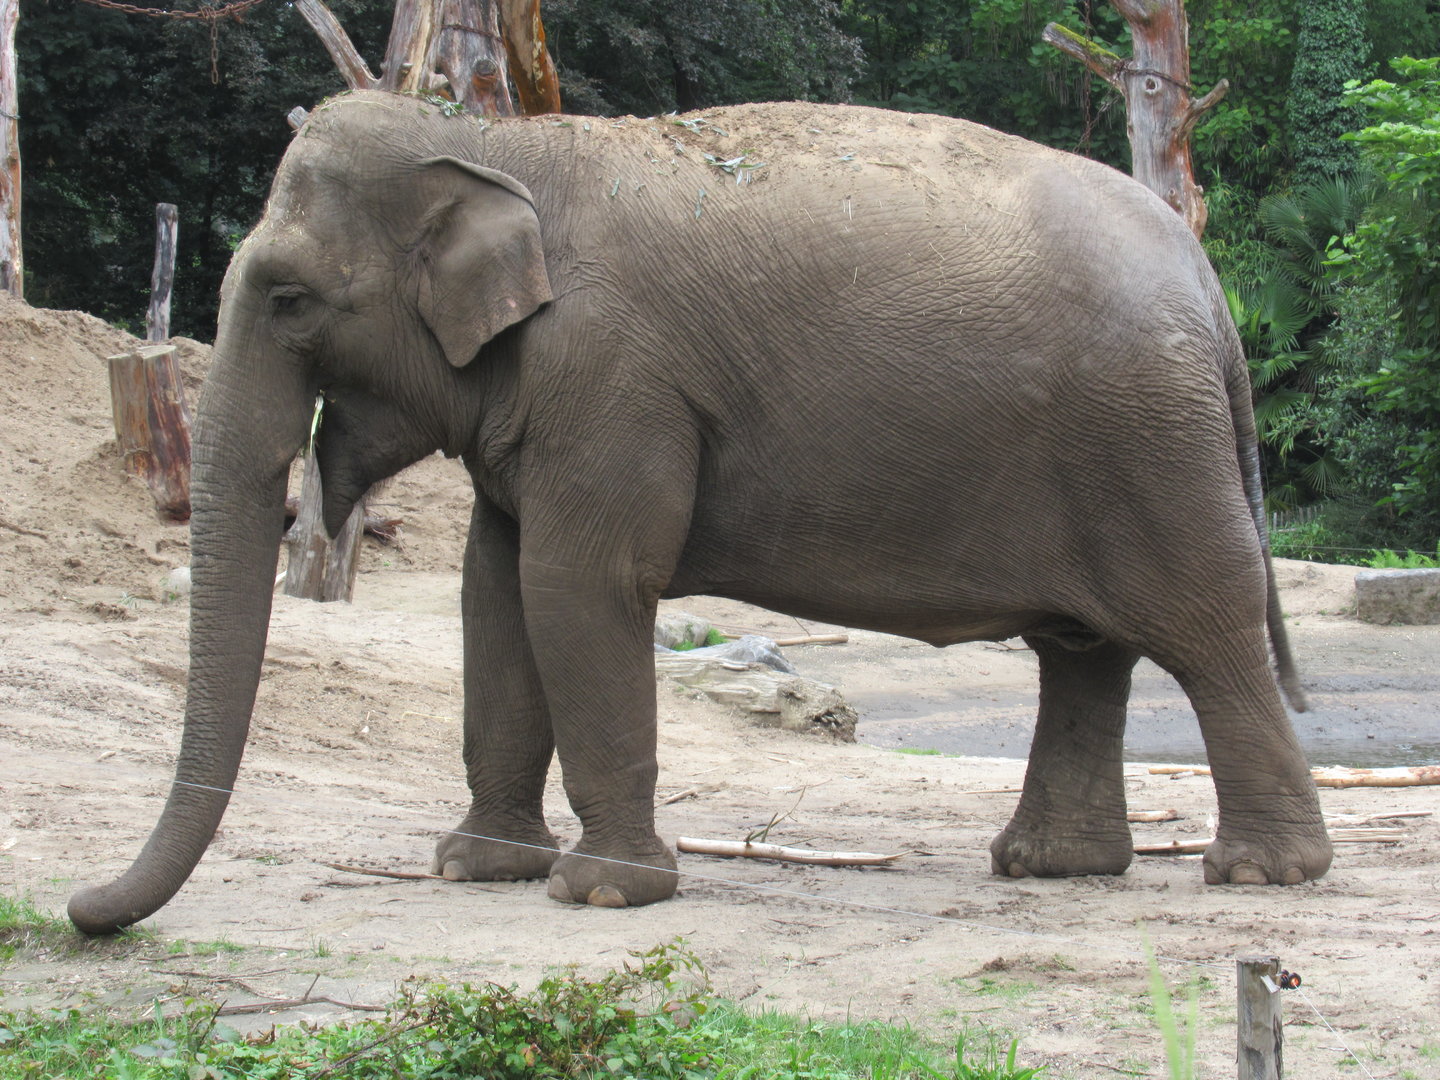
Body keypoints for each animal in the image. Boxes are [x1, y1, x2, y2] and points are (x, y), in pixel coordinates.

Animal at [68, 92, 1332, 933]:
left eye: (288, 298)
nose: (79, 907)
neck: (500, 145)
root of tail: (1207, 283)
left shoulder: (610, 378)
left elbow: (579, 587)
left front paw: (601, 892)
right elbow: (496, 591)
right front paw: (476, 867)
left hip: (1151, 444)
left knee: (1206, 633)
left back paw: (1262, 876)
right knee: (1085, 650)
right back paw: (1047, 866)